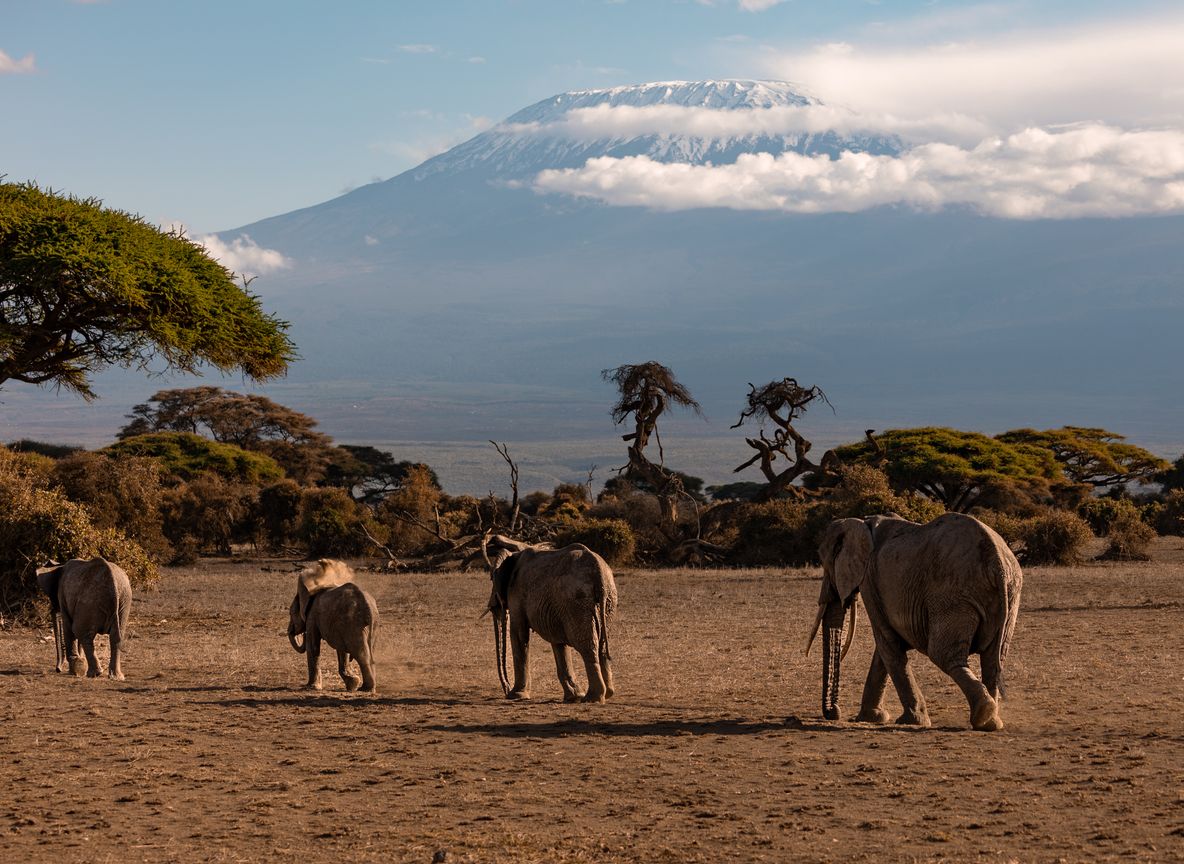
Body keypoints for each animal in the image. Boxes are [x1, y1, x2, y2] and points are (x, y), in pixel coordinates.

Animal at [287, 559, 379, 692]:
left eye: (290, 613)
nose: (302, 633)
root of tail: (367, 606)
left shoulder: (312, 615)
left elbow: (313, 646)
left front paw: (311, 687)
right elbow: (342, 650)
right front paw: (352, 684)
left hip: (354, 623)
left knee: (362, 654)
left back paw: (365, 689)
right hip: (367, 624)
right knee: (369, 651)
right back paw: (366, 688)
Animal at [487, 543, 617, 703]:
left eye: (491, 578)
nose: (506, 689)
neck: (513, 555)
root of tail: (598, 571)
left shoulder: (516, 593)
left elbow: (518, 634)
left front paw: (516, 696)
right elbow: (558, 642)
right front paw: (573, 697)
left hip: (576, 601)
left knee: (587, 645)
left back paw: (592, 698)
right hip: (607, 600)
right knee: (602, 643)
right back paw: (607, 694)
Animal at [807, 512, 1022, 732]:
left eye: (826, 563)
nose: (834, 713)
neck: (861, 523)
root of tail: (996, 562)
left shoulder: (869, 581)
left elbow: (887, 643)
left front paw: (911, 721)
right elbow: (884, 649)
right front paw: (872, 718)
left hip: (952, 595)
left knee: (944, 655)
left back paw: (983, 714)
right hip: (1009, 594)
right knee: (993, 659)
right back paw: (991, 721)